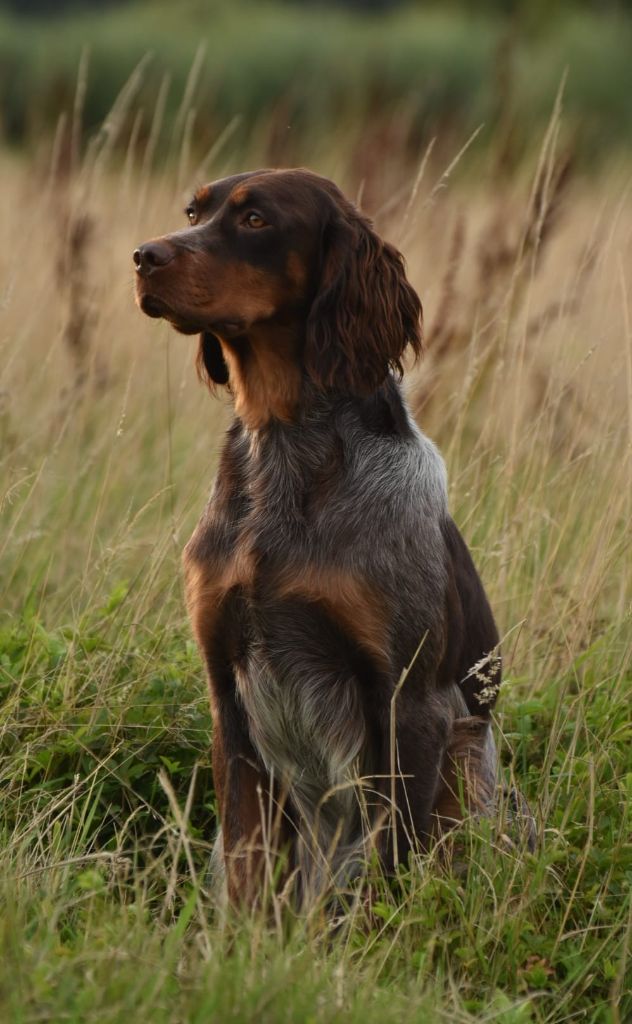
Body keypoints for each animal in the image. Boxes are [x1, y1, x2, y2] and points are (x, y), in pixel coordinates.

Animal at [133, 167, 501, 905]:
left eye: (255, 220)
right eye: (193, 211)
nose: (143, 257)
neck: (285, 444)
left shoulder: (412, 701)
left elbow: (394, 859)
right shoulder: (228, 692)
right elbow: (247, 862)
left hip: (469, 748)